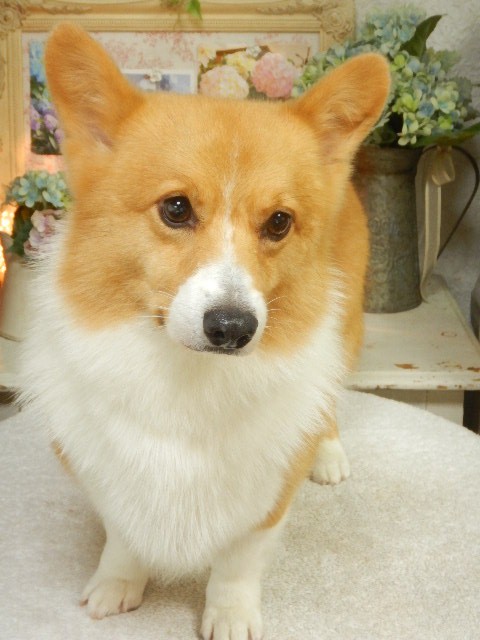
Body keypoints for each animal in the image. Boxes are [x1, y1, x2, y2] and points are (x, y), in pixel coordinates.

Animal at [19, 23, 389, 639]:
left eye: (279, 222)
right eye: (175, 208)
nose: (233, 328)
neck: (188, 375)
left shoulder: (267, 496)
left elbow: (239, 558)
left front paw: (230, 614)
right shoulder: (101, 469)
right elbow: (122, 534)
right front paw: (118, 584)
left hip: (349, 323)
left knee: (330, 395)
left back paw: (330, 453)